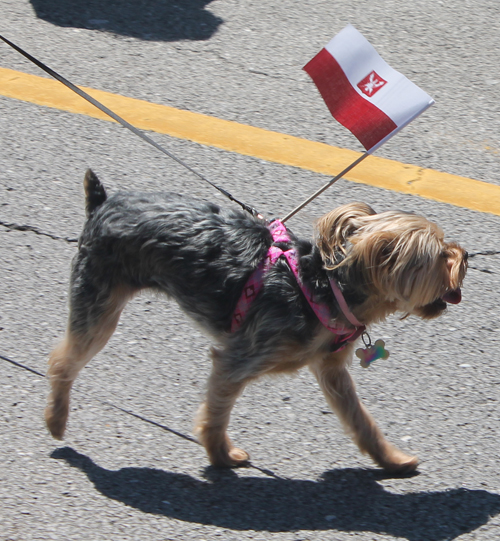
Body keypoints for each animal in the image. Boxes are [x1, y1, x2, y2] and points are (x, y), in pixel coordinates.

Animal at [44, 169, 468, 472]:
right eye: (438, 255)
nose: (465, 256)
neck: (329, 285)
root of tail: (102, 203)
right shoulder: (238, 359)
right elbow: (216, 413)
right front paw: (221, 455)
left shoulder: (330, 368)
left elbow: (360, 419)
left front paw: (391, 459)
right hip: (99, 298)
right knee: (64, 360)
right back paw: (56, 420)